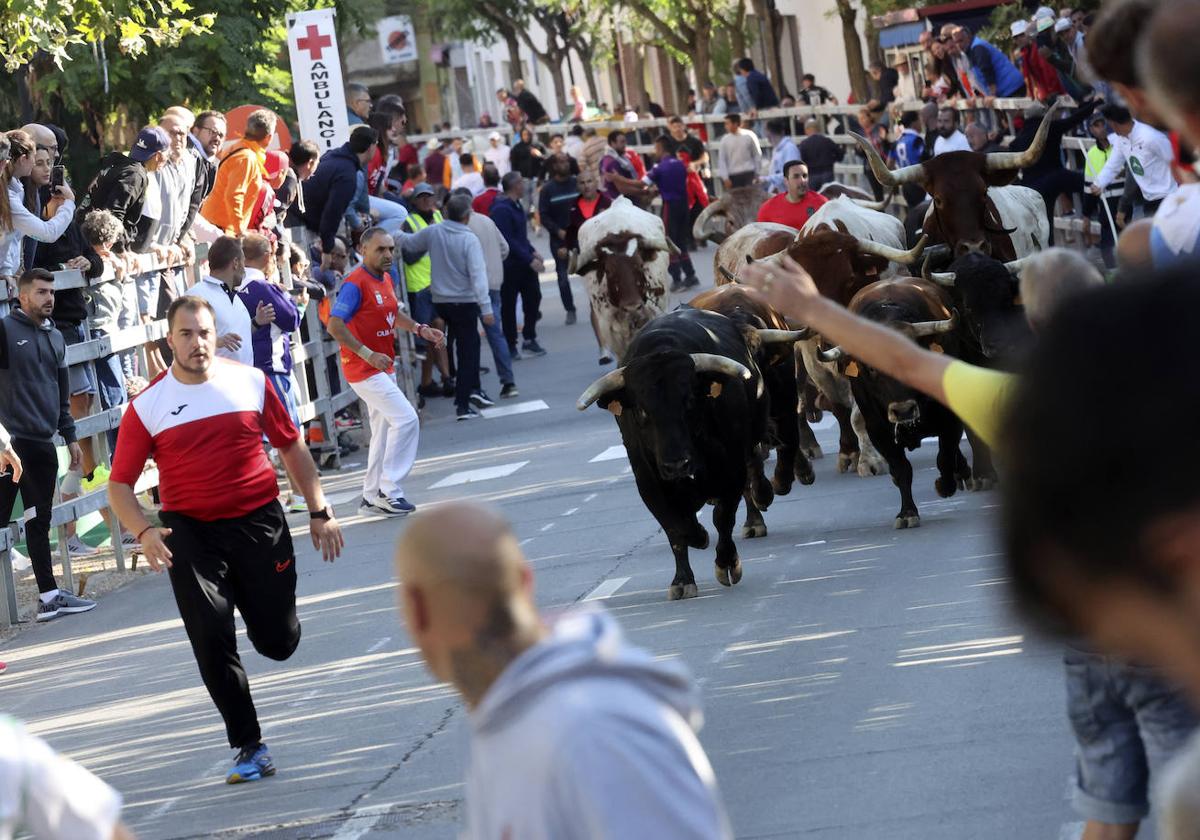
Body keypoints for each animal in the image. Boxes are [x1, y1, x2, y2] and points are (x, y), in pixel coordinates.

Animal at [578, 312, 782, 600]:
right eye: (641, 410)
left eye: (690, 402)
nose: (677, 464)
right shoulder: (649, 484)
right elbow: (676, 528)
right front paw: (683, 578)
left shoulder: (731, 471)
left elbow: (723, 518)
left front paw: (727, 564)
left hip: (753, 433)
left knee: (753, 469)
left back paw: (757, 513)